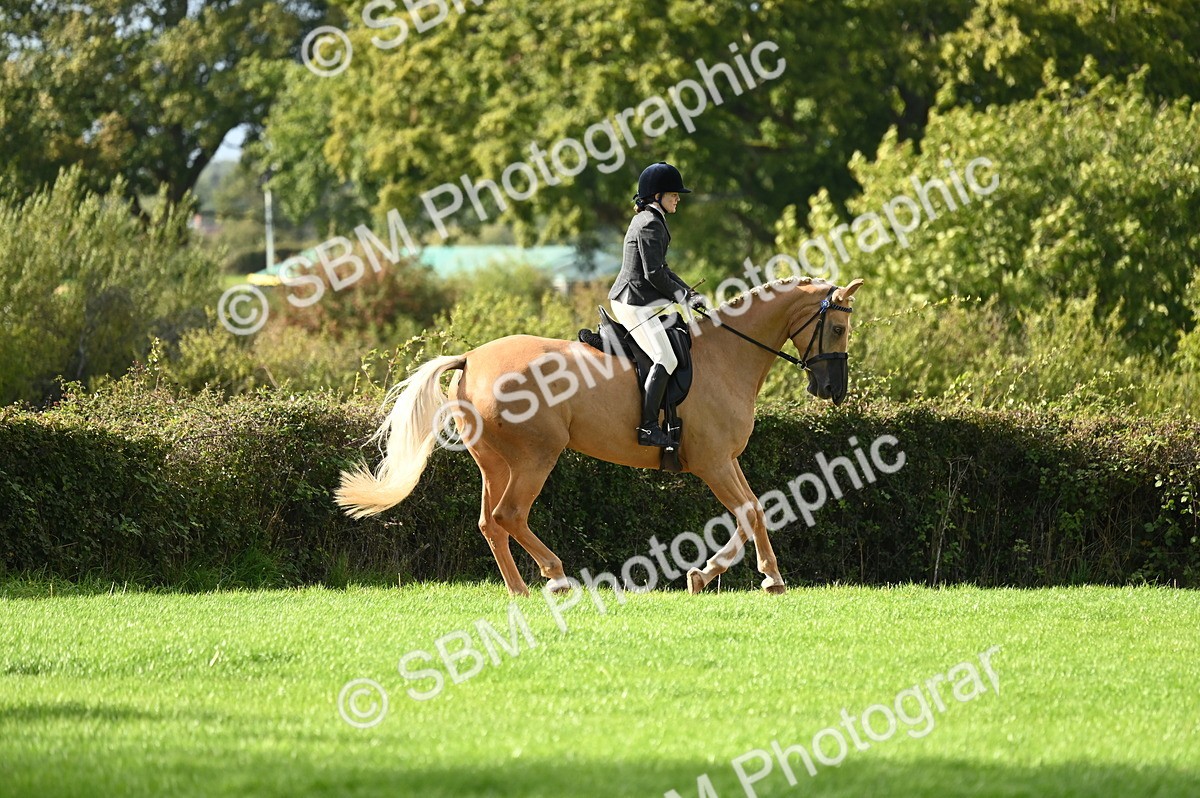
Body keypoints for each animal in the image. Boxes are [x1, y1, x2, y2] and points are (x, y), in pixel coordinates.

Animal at [336, 276, 864, 596]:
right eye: (838, 328)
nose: (832, 391)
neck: (726, 355)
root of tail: (471, 359)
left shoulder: (724, 460)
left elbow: (749, 511)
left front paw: (702, 574)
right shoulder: (712, 462)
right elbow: (751, 510)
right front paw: (772, 578)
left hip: (495, 463)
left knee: (490, 523)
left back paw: (519, 589)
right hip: (535, 457)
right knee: (510, 515)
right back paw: (556, 578)